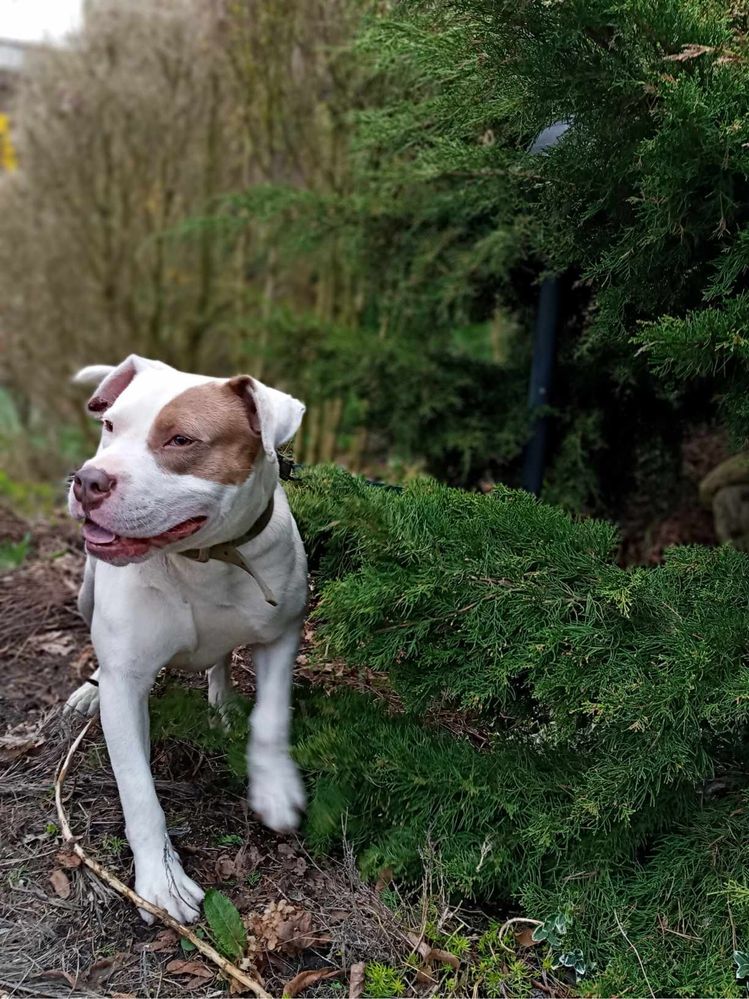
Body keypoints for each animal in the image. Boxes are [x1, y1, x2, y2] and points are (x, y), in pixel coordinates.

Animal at [65, 356, 306, 924]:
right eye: (110, 426)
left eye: (180, 440)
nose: (87, 481)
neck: (202, 559)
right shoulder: (126, 684)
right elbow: (138, 790)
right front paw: (162, 880)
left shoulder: (282, 635)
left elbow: (271, 718)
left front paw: (275, 788)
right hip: (86, 594)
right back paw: (87, 691)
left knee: (220, 660)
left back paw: (222, 701)